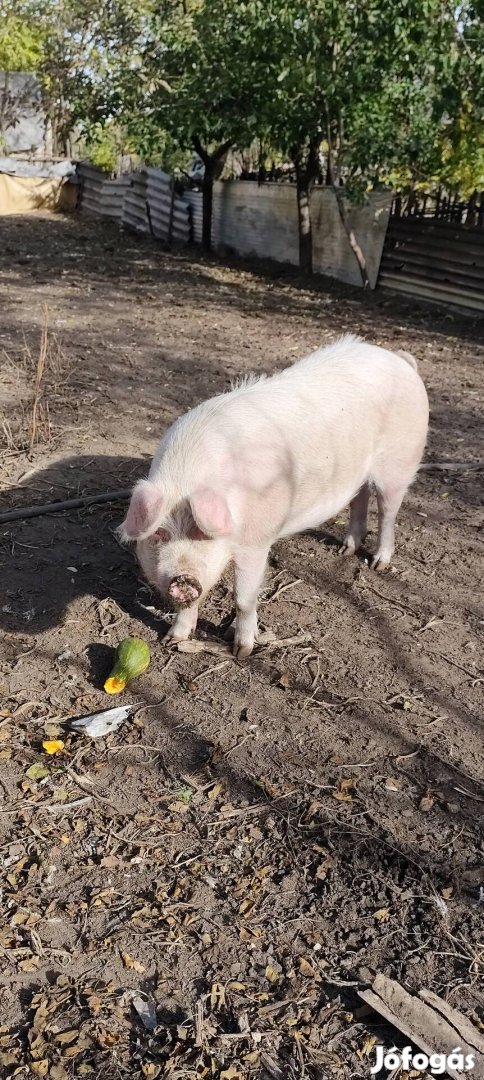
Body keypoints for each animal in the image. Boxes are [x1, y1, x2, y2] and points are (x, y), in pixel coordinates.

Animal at [118, 336, 429, 656]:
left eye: (202, 533)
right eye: (159, 534)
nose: (183, 579)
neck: (186, 476)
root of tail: (399, 359)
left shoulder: (256, 539)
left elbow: (244, 599)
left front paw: (242, 651)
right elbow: (190, 606)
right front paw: (172, 640)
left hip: (400, 462)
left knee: (389, 512)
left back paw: (379, 563)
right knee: (359, 498)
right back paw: (346, 550)